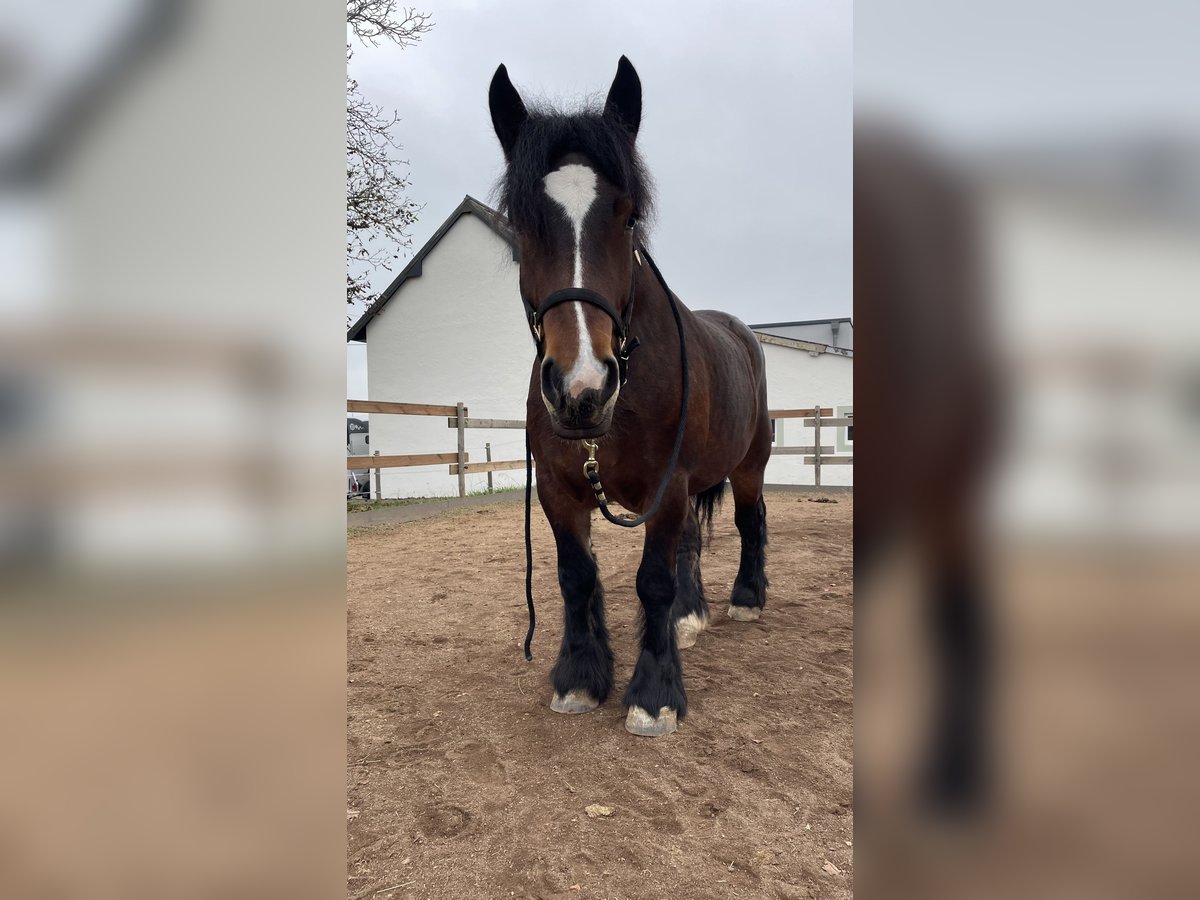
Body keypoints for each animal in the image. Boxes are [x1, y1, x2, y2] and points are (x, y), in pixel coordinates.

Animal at [492, 56, 772, 734]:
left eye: (628, 217)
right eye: (523, 222)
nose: (581, 388)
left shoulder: (665, 489)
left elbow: (652, 581)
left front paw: (654, 693)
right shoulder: (560, 490)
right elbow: (575, 578)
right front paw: (580, 677)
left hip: (748, 466)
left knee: (749, 522)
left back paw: (746, 600)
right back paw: (690, 619)